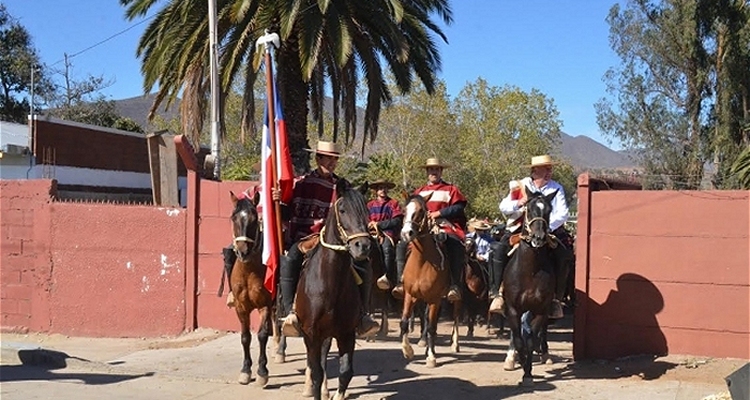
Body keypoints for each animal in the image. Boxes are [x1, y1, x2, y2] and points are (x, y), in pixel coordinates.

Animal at [296, 180, 374, 400]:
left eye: (366, 210)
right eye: (343, 209)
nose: (362, 246)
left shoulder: (346, 333)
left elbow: (345, 372)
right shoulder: (311, 333)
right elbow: (316, 371)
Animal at [396, 195, 462, 368]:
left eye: (420, 212)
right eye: (404, 210)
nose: (406, 233)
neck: (421, 262)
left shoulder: (434, 299)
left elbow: (431, 326)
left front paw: (431, 357)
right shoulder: (410, 295)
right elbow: (404, 322)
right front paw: (407, 351)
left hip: (453, 297)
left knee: (455, 316)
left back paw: (454, 343)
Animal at [502, 189, 560, 386]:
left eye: (549, 210)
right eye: (529, 208)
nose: (538, 238)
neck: (530, 272)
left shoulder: (540, 310)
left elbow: (531, 341)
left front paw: (528, 372)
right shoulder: (513, 309)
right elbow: (519, 341)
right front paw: (521, 364)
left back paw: (545, 354)